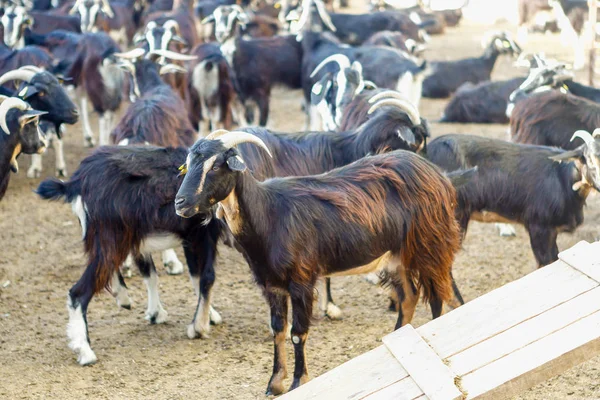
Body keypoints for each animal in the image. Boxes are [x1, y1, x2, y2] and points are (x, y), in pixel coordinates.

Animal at [37, 146, 225, 366]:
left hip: (114, 237)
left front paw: (160, 314)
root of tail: (77, 182)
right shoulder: (202, 234)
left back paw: (123, 297)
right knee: (79, 291)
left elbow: (168, 275)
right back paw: (84, 350)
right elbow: (205, 277)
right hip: (112, 236)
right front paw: (202, 323)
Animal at [176, 130, 462, 394]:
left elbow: (297, 333)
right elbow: (278, 330)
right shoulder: (271, 284)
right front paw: (274, 383)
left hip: (428, 245)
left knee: (437, 297)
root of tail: (435, 173)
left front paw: (297, 382)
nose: (180, 203)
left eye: (215, 165)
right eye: (188, 164)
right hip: (396, 256)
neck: (269, 215)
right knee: (410, 297)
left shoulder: (301, 281)